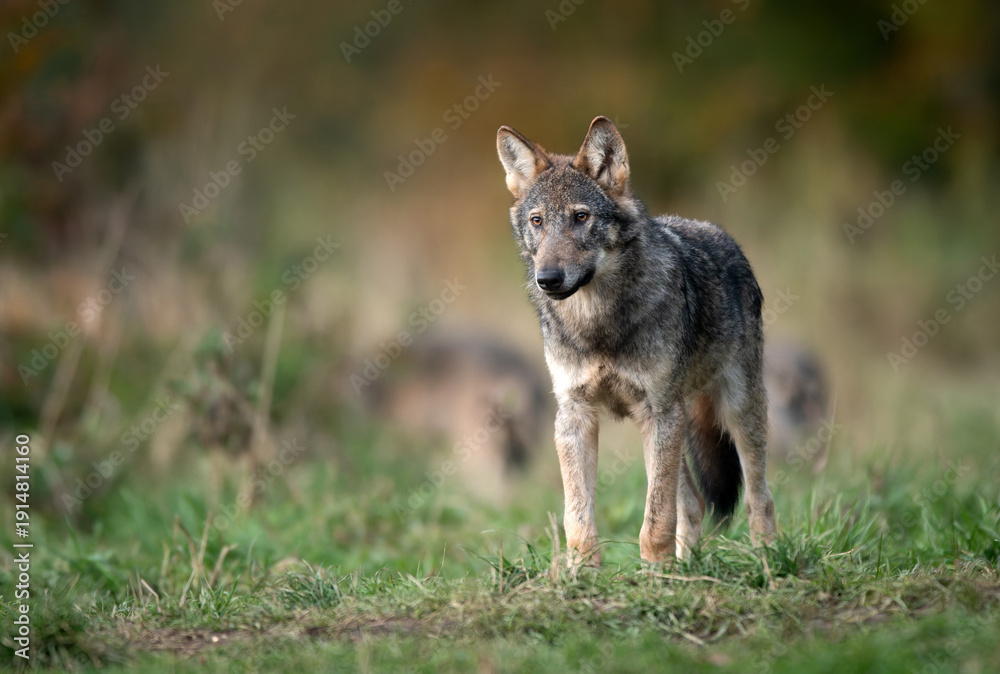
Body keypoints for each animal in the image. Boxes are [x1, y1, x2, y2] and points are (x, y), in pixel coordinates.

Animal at [496, 116, 777, 564]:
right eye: (537, 221)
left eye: (580, 217)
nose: (548, 279)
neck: (597, 324)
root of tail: (719, 234)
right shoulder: (574, 415)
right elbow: (578, 520)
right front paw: (582, 574)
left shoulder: (658, 412)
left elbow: (655, 521)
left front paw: (655, 574)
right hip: (678, 424)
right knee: (693, 503)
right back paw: (686, 567)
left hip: (733, 410)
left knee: (757, 498)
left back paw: (767, 561)